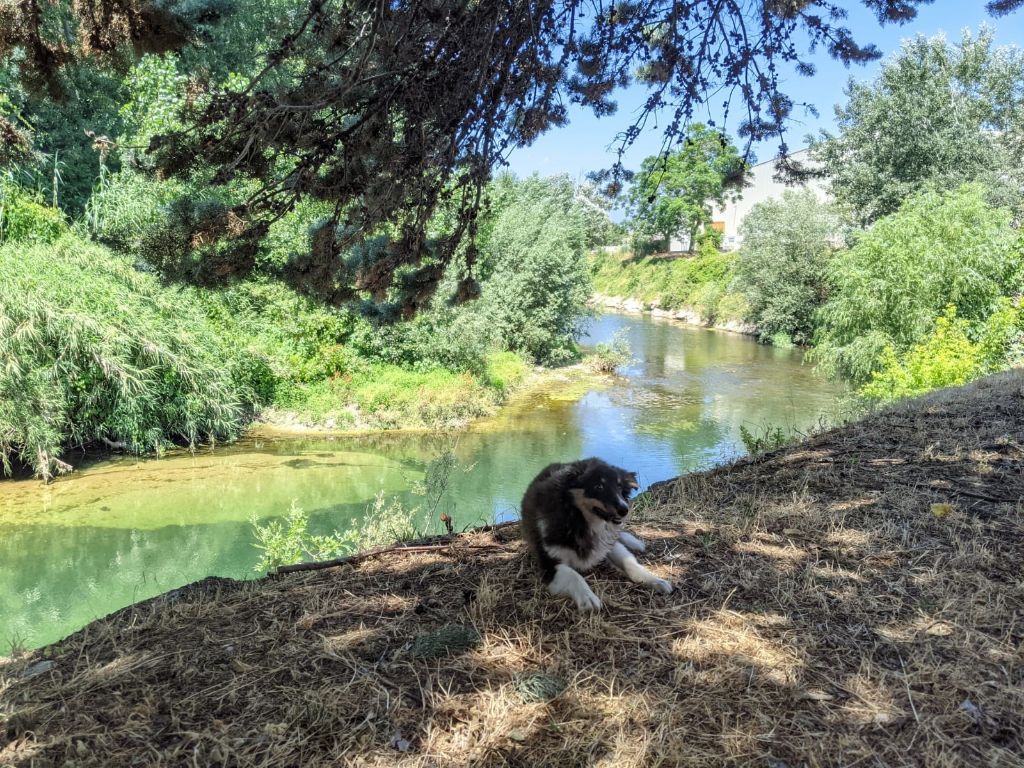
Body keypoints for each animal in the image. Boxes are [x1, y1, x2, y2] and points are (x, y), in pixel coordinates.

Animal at [520, 456, 671, 614]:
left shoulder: (607, 545)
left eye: (619, 487)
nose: (625, 509)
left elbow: (630, 563)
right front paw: (588, 597)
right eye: (599, 487)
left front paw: (655, 580)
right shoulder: (549, 566)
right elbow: (574, 575)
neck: (578, 521)